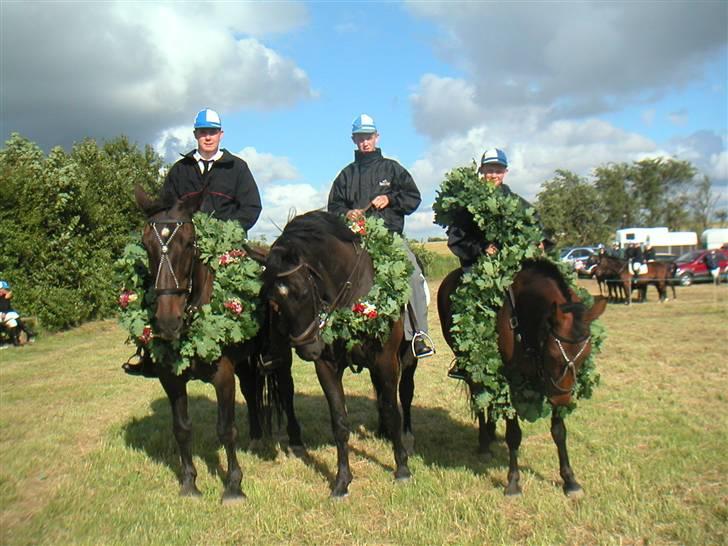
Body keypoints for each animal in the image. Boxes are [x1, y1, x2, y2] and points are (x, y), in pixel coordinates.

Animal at [132, 186, 302, 498]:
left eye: (189, 243)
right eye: (146, 244)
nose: (168, 322)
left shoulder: (222, 376)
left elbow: (225, 429)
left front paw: (233, 486)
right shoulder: (170, 379)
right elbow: (181, 428)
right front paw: (189, 482)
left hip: (280, 358)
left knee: (286, 389)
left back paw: (296, 440)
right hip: (245, 363)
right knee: (250, 390)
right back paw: (256, 436)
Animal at [253, 209, 418, 498]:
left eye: (303, 291)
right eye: (273, 300)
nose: (309, 349)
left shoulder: (386, 361)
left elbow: (392, 409)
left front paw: (402, 469)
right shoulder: (327, 367)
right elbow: (340, 423)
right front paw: (342, 482)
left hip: (407, 360)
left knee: (405, 393)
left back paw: (405, 435)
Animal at [440, 260, 604, 498]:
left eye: (585, 354)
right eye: (553, 353)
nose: (563, 400)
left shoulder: (551, 383)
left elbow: (559, 432)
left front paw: (570, 480)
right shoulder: (512, 381)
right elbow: (514, 434)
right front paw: (513, 482)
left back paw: (491, 432)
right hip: (472, 364)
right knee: (480, 398)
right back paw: (484, 444)